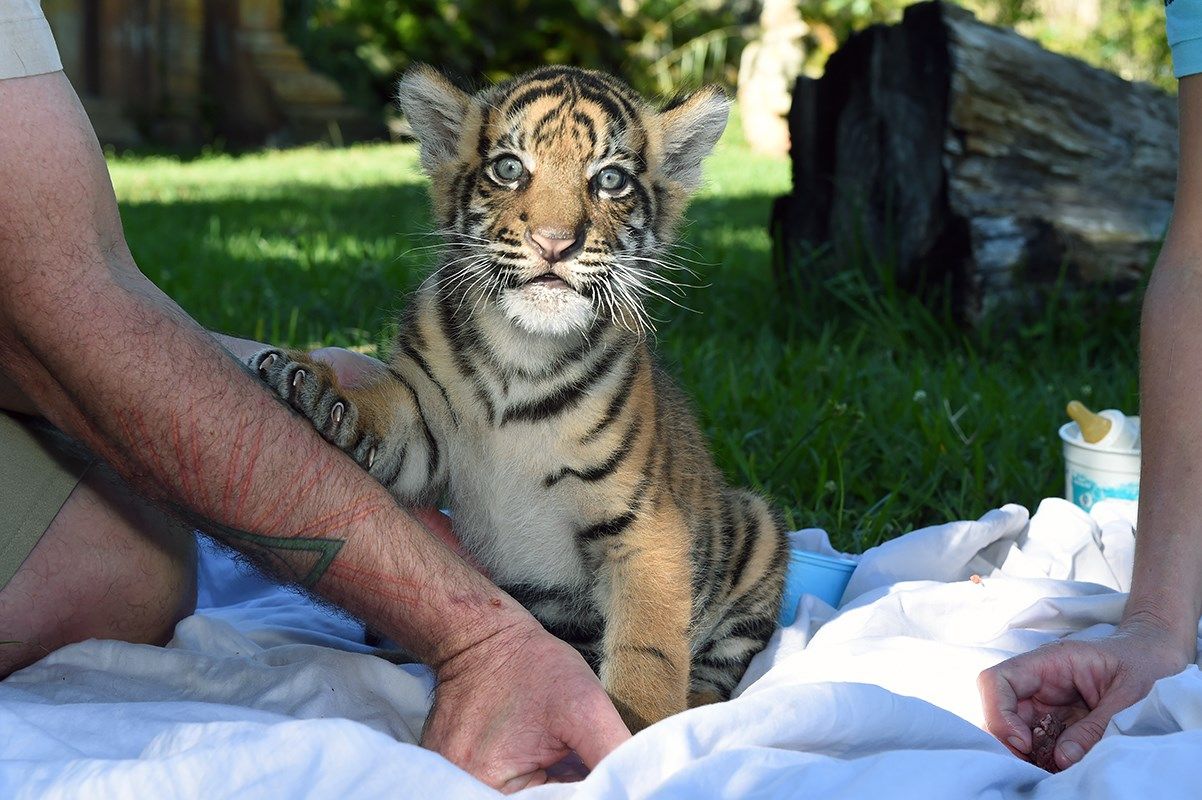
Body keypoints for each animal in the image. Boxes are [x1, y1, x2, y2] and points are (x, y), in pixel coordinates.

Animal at [248, 64, 789, 731]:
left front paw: (635, 733)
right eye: (509, 168)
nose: (555, 243)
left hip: (759, 529)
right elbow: (384, 410)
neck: (521, 356)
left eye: (610, 179)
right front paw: (319, 391)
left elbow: (649, 651)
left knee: (716, 672)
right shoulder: (425, 434)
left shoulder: (644, 529)